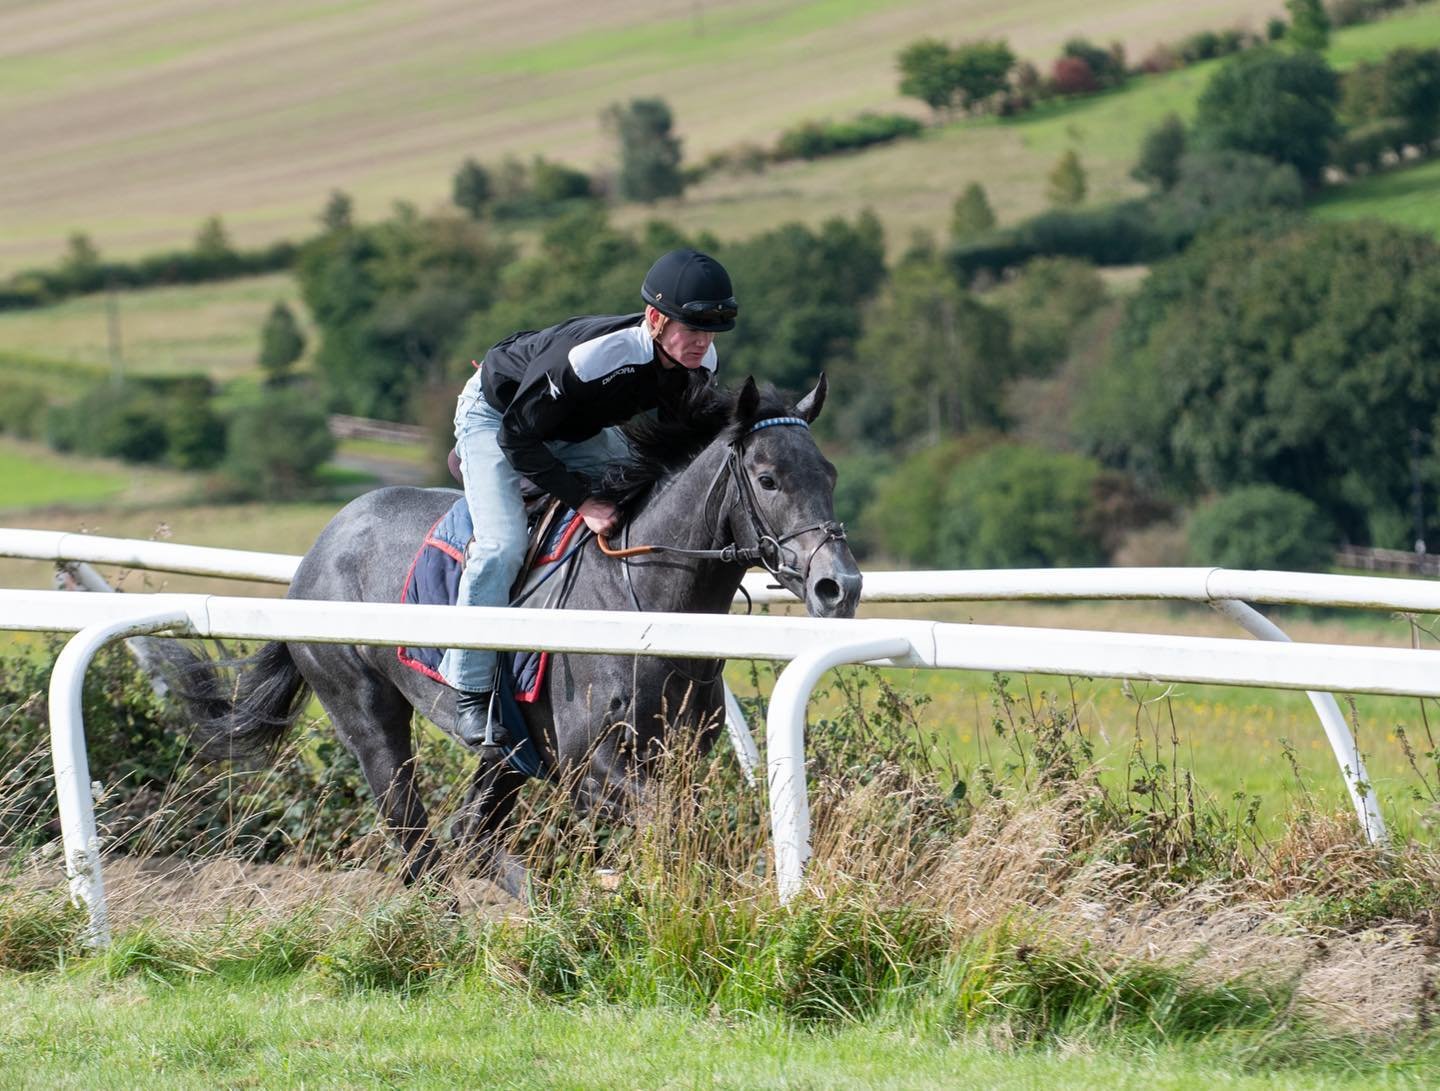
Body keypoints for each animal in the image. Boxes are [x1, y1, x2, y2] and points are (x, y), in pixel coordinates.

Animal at [174, 377, 858, 898]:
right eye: (767, 478)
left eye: (829, 473)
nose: (838, 586)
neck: (644, 609)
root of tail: (314, 553)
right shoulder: (590, 767)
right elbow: (667, 826)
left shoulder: (676, 758)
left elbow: (687, 828)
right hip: (365, 711)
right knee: (415, 836)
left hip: (507, 747)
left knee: (467, 833)